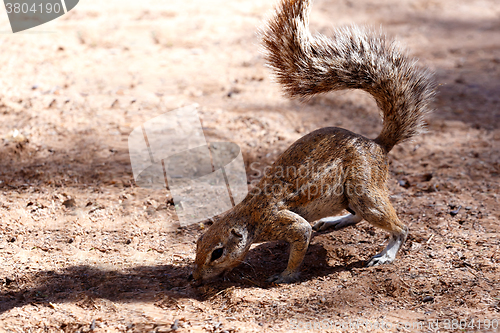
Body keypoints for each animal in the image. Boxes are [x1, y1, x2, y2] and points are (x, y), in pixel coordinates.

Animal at [191, 0, 434, 282]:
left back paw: (385, 254)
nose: (195, 277)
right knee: (357, 216)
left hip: (364, 191)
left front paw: (285, 275)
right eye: (197, 242)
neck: (248, 215)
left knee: (398, 227)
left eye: (217, 252)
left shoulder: (283, 222)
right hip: (351, 197)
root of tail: (378, 144)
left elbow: (302, 238)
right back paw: (334, 221)